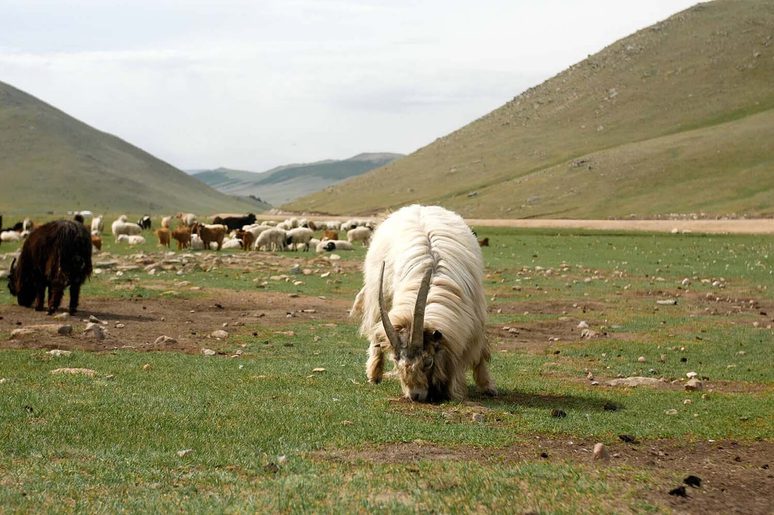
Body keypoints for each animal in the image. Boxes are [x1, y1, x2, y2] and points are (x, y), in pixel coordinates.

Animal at [351, 205, 495, 402]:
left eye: (428, 361)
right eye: (396, 361)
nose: (415, 395)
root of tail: (419, 207)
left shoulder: (476, 321)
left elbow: (479, 354)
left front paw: (487, 386)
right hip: (377, 295)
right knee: (376, 333)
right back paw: (374, 375)